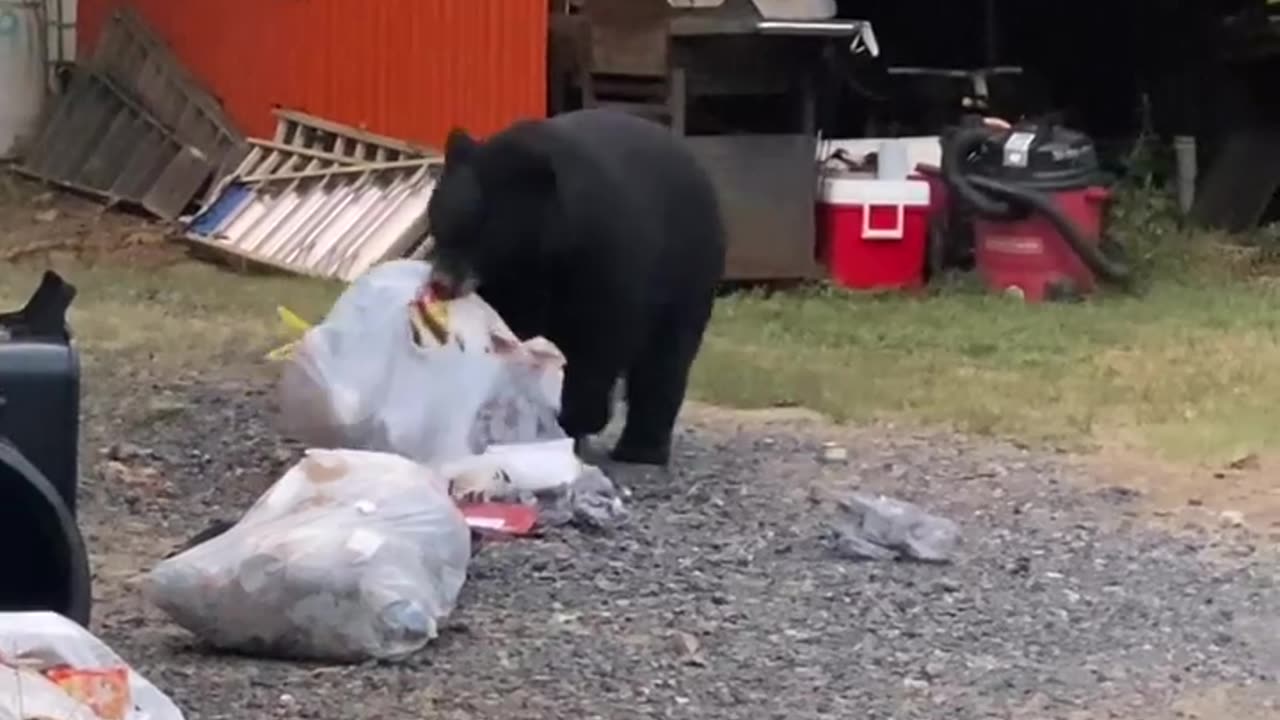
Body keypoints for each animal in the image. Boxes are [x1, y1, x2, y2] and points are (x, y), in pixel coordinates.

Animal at [424, 106, 727, 466]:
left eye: (481, 231)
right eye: (439, 221)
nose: (441, 284)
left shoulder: (603, 261)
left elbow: (597, 342)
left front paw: (574, 420)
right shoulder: (509, 286)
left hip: (689, 269)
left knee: (666, 358)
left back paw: (640, 448)